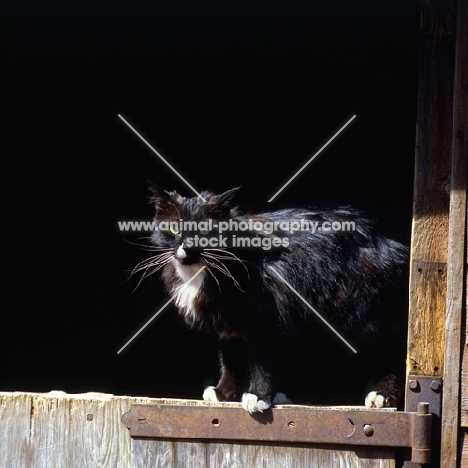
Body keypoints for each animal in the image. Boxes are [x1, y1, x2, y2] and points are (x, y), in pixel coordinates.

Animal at [137, 186, 408, 414]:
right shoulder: (228, 328)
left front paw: (258, 396)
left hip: (365, 313)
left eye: (204, 231)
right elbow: (230, 361)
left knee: (389, 349)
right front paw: (224, 393)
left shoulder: (267, 321)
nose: (186, 248)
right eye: (174, 229)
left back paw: (383, 396)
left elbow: (261, 363)